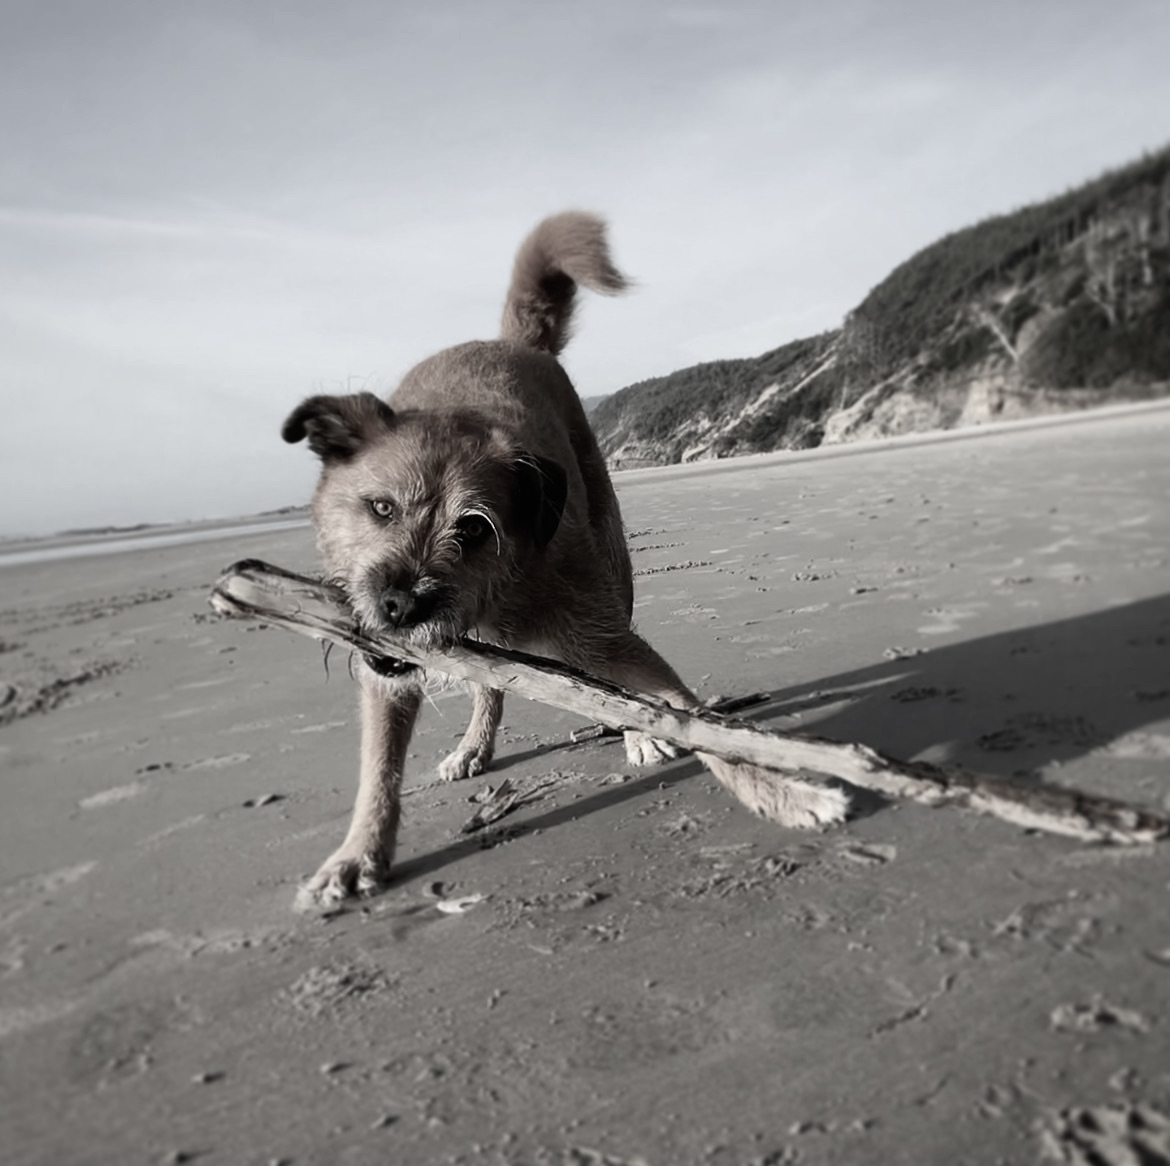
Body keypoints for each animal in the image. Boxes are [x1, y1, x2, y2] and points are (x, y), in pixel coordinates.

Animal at [283, 214, 851, 907]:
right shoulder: (387, 674)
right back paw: (474, 747)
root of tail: (507, 341)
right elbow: (379, 767)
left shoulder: (603, 637)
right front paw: (357, 853)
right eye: (381, 507)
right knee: (489, 687)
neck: (496, 596)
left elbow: (688, 717)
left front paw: (784, 794)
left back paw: (635, 733)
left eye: (473, 530)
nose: (399, 605)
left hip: (613, 558)